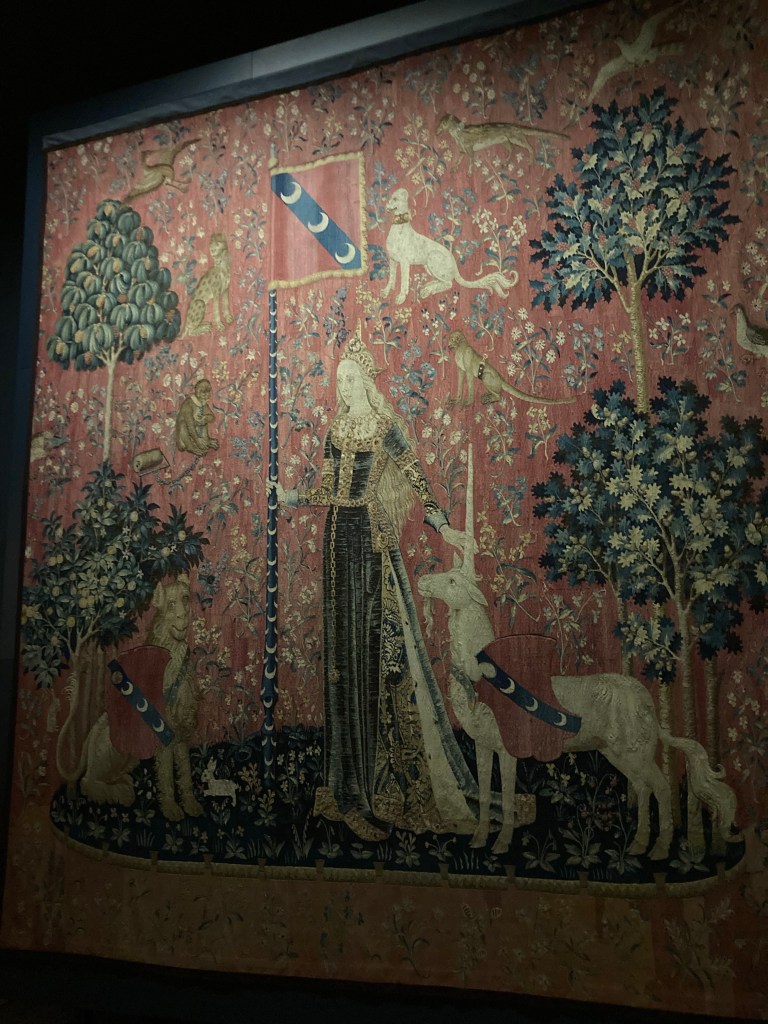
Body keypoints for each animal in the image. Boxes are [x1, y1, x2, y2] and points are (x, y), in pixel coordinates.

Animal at [445, 331, 574, 407]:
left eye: (452, 340)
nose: (448, 345)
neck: (460, 348)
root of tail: (501, 378)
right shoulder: (460, 369)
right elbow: (460, 381)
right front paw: (457, 399)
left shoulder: (468, 366)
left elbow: (470, 382)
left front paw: (468, 402)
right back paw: (488, 395)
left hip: (488, 377)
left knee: (497, 393)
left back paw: (491, 398)